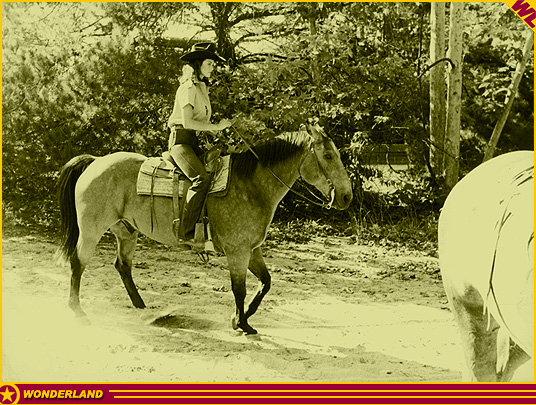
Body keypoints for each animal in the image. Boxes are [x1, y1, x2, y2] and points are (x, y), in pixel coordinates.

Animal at [56, 123, 354, 334]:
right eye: (328, 155)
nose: (346, 197)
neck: (252, 186)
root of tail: (95, 161)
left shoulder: (252, 250)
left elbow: (265, 283)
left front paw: (241, 318)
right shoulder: (237, 251)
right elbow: (239, 288)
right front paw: (242, 324)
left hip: (126, 231)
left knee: (122, 266)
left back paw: (142, 307)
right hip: (92, 230)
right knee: (78, 263)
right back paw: (78, 312)